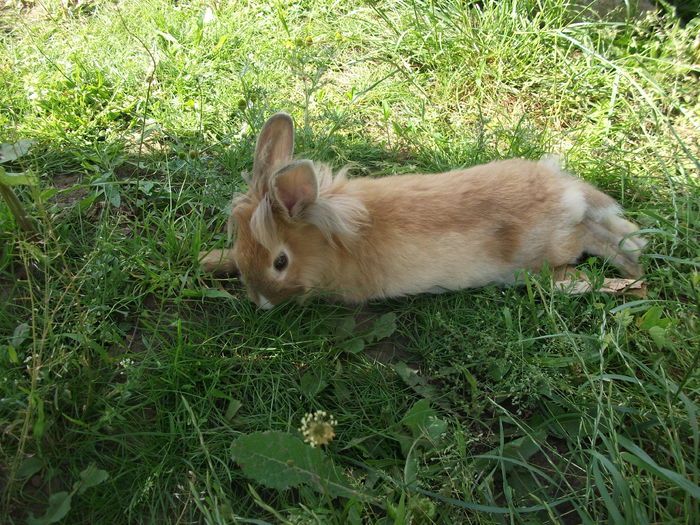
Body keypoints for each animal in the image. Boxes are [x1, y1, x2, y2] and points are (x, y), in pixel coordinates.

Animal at [198, 110, 644, 308]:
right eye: (241, 248)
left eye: (280, 262)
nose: (260, 302)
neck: (330, 239)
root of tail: (567, 193)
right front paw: (210, 261)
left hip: (543, 258)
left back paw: (626, 276)